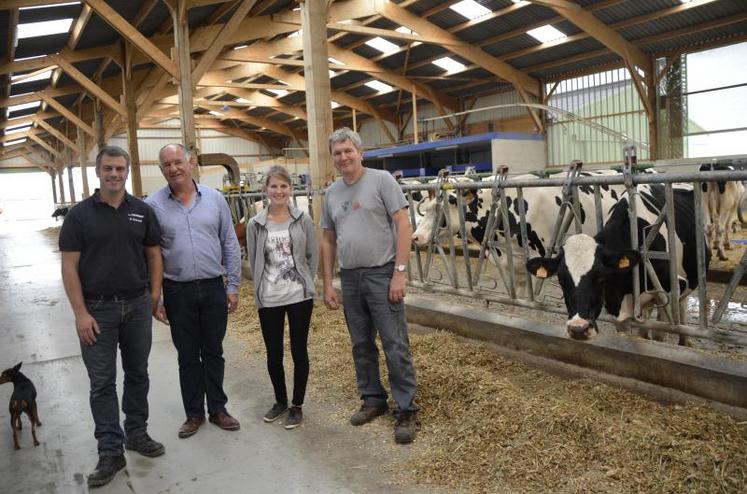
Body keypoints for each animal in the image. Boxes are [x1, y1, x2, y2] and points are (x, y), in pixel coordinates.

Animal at [524, 183, 708, 346]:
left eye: (600, 278)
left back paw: (685, 340)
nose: (578, 329)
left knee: (681, 306)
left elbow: (660, 334)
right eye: (561, 280)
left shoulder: (671, 288)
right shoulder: (613, 302)